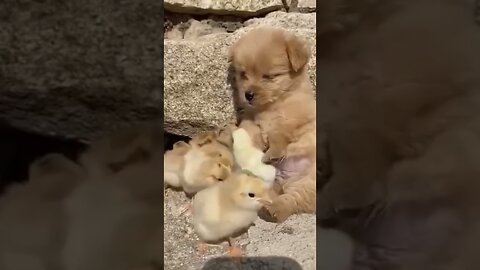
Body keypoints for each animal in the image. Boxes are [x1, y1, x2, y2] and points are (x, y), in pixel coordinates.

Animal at [228, 27, 316, 221]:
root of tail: (285, 179)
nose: (248, 94)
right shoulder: (250, 117)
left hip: (309, 183)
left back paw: (272, 210)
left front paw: (273, 152)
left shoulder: (294, 119)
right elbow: (250, 128)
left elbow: (279, 133)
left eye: (268, 76)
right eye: (243, 75)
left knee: (292, 200)